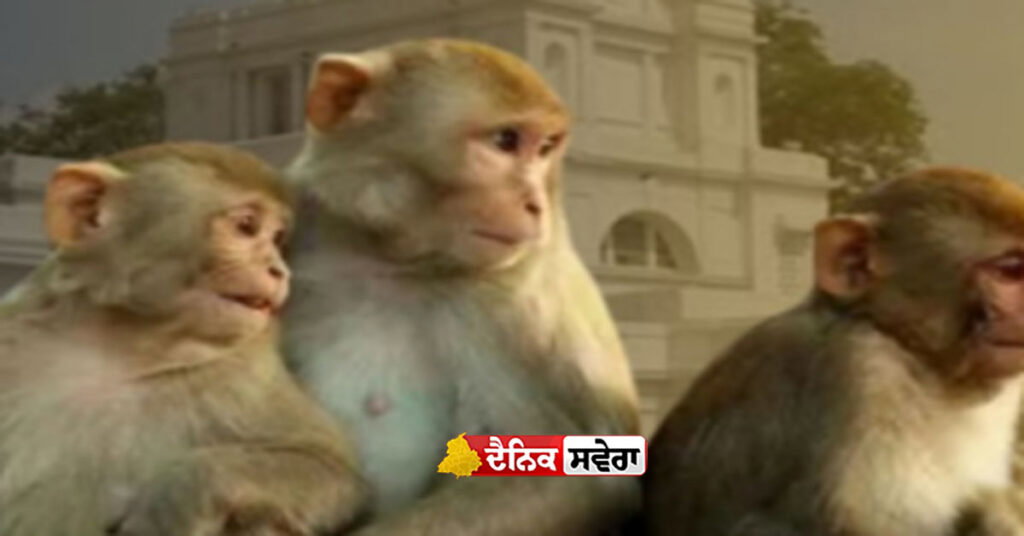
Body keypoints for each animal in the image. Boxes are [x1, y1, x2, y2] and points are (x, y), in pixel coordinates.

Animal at [0, 142, 366, 536]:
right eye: (247, 227)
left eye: (277, 239)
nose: (280, 270)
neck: (118, 345)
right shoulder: (13, 339)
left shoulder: (247, 373)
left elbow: (326, 465)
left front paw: (172, 502)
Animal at [282, 39, 640, 535]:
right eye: (506, 141)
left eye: (545, 147)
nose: (535, 203)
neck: (391, 260)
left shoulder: (513, 300)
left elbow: (564, 475)